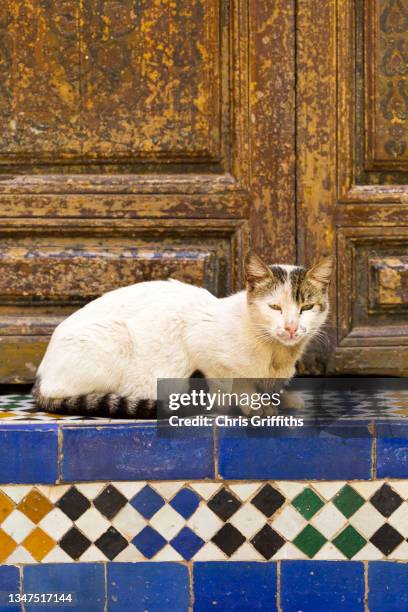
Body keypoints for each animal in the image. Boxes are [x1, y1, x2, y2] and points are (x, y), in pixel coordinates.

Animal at [31, 251, 332, 418]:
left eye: (306, 307)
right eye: (274, 307)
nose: (291, 327)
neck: (276, 356)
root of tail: (40, 375)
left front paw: (282, 398)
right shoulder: (201, 347)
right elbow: (235, 385)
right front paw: (254, 405)